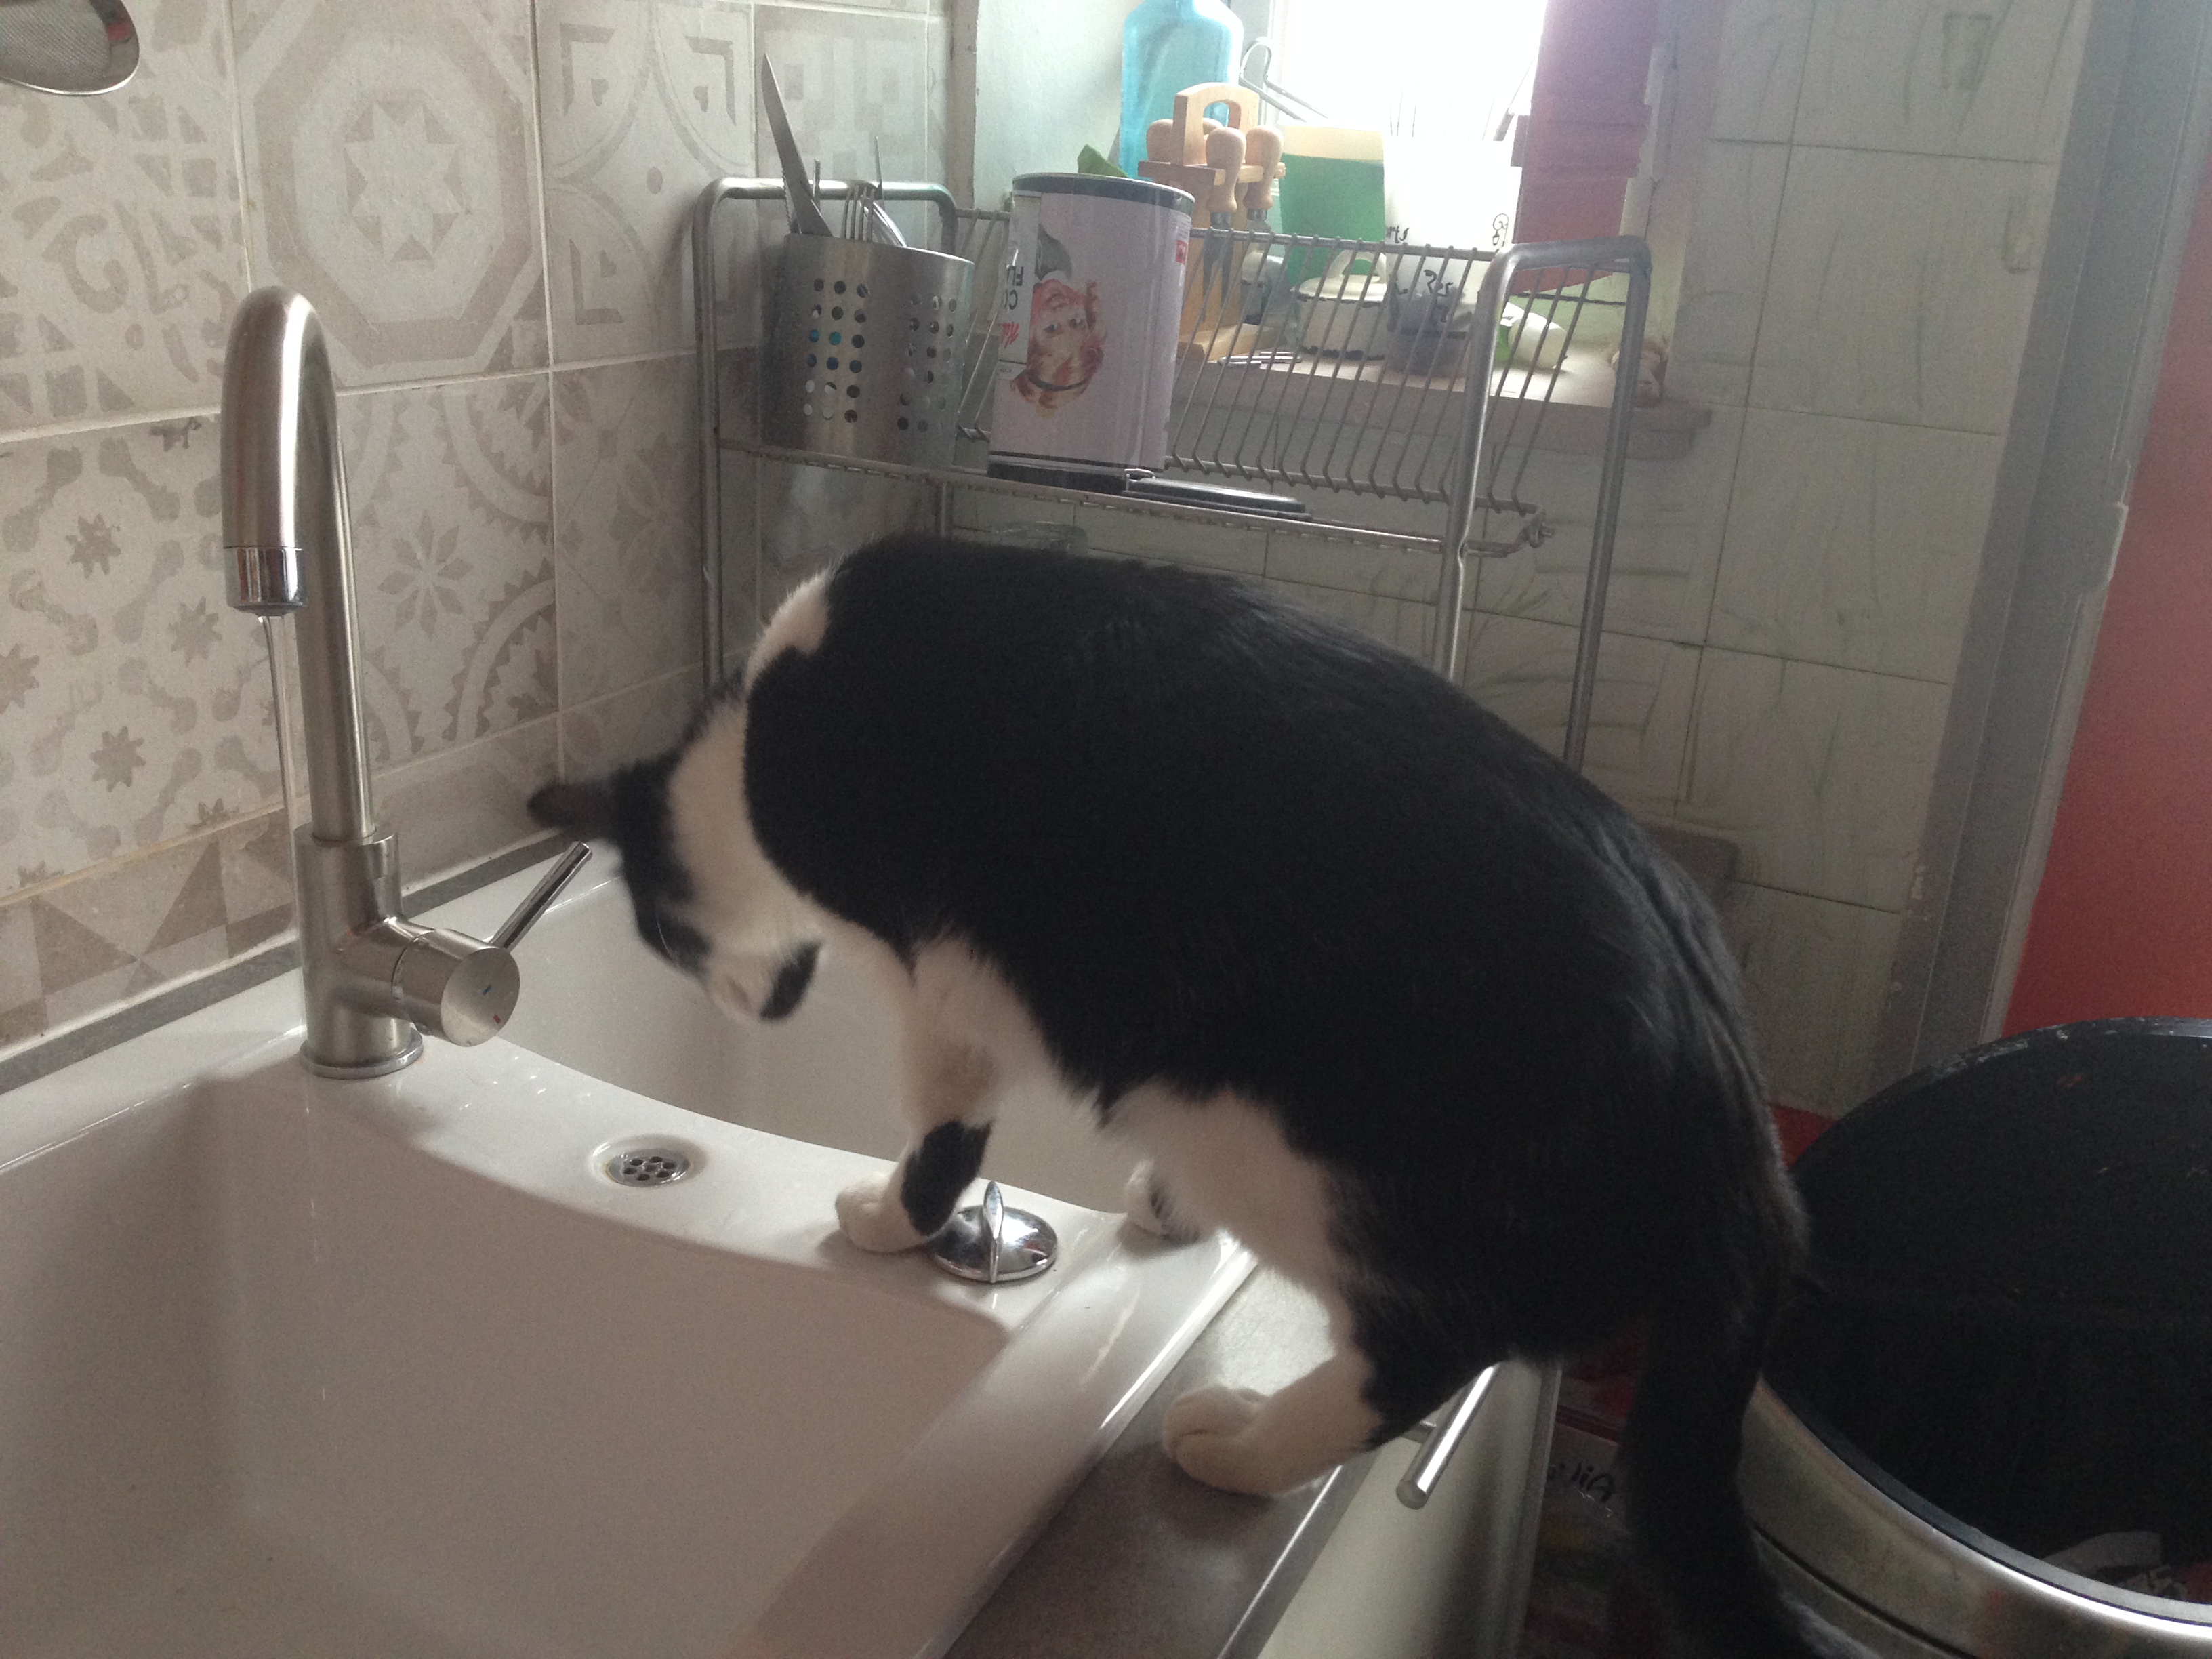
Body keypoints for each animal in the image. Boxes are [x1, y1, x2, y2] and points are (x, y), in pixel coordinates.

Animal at [529, 534, 1823, 1659]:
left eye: (658, 935)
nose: (744, 1013)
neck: (755, 742)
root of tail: (1735, 1119)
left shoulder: (937, 981)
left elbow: (942, 1124)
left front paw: (891, 1221)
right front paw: (1144, 1207)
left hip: (1281, 1149)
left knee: (1423, 1352)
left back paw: (1245, 1444)